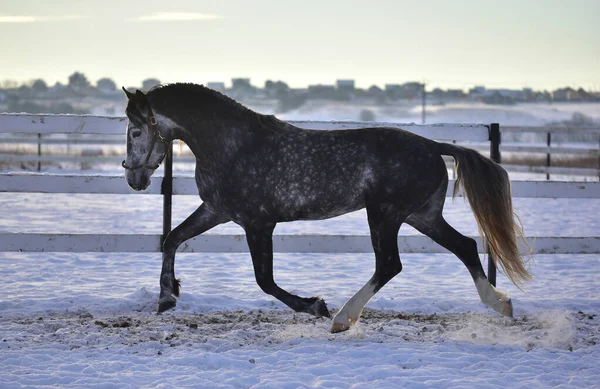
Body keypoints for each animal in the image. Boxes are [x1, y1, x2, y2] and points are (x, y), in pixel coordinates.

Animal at [120, 83, 528, 332]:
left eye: (135, 131)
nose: (134, 179)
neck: (233, 145)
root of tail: (433, 146)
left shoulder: (257, 223)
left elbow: (265, 280)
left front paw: (315, 305)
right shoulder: (217, 211)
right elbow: (173, 238)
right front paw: (166, 297)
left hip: (385, 215)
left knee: (390, 264)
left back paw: (342, 318)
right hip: (421, 216)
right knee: (465, 246)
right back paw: (500, 304)